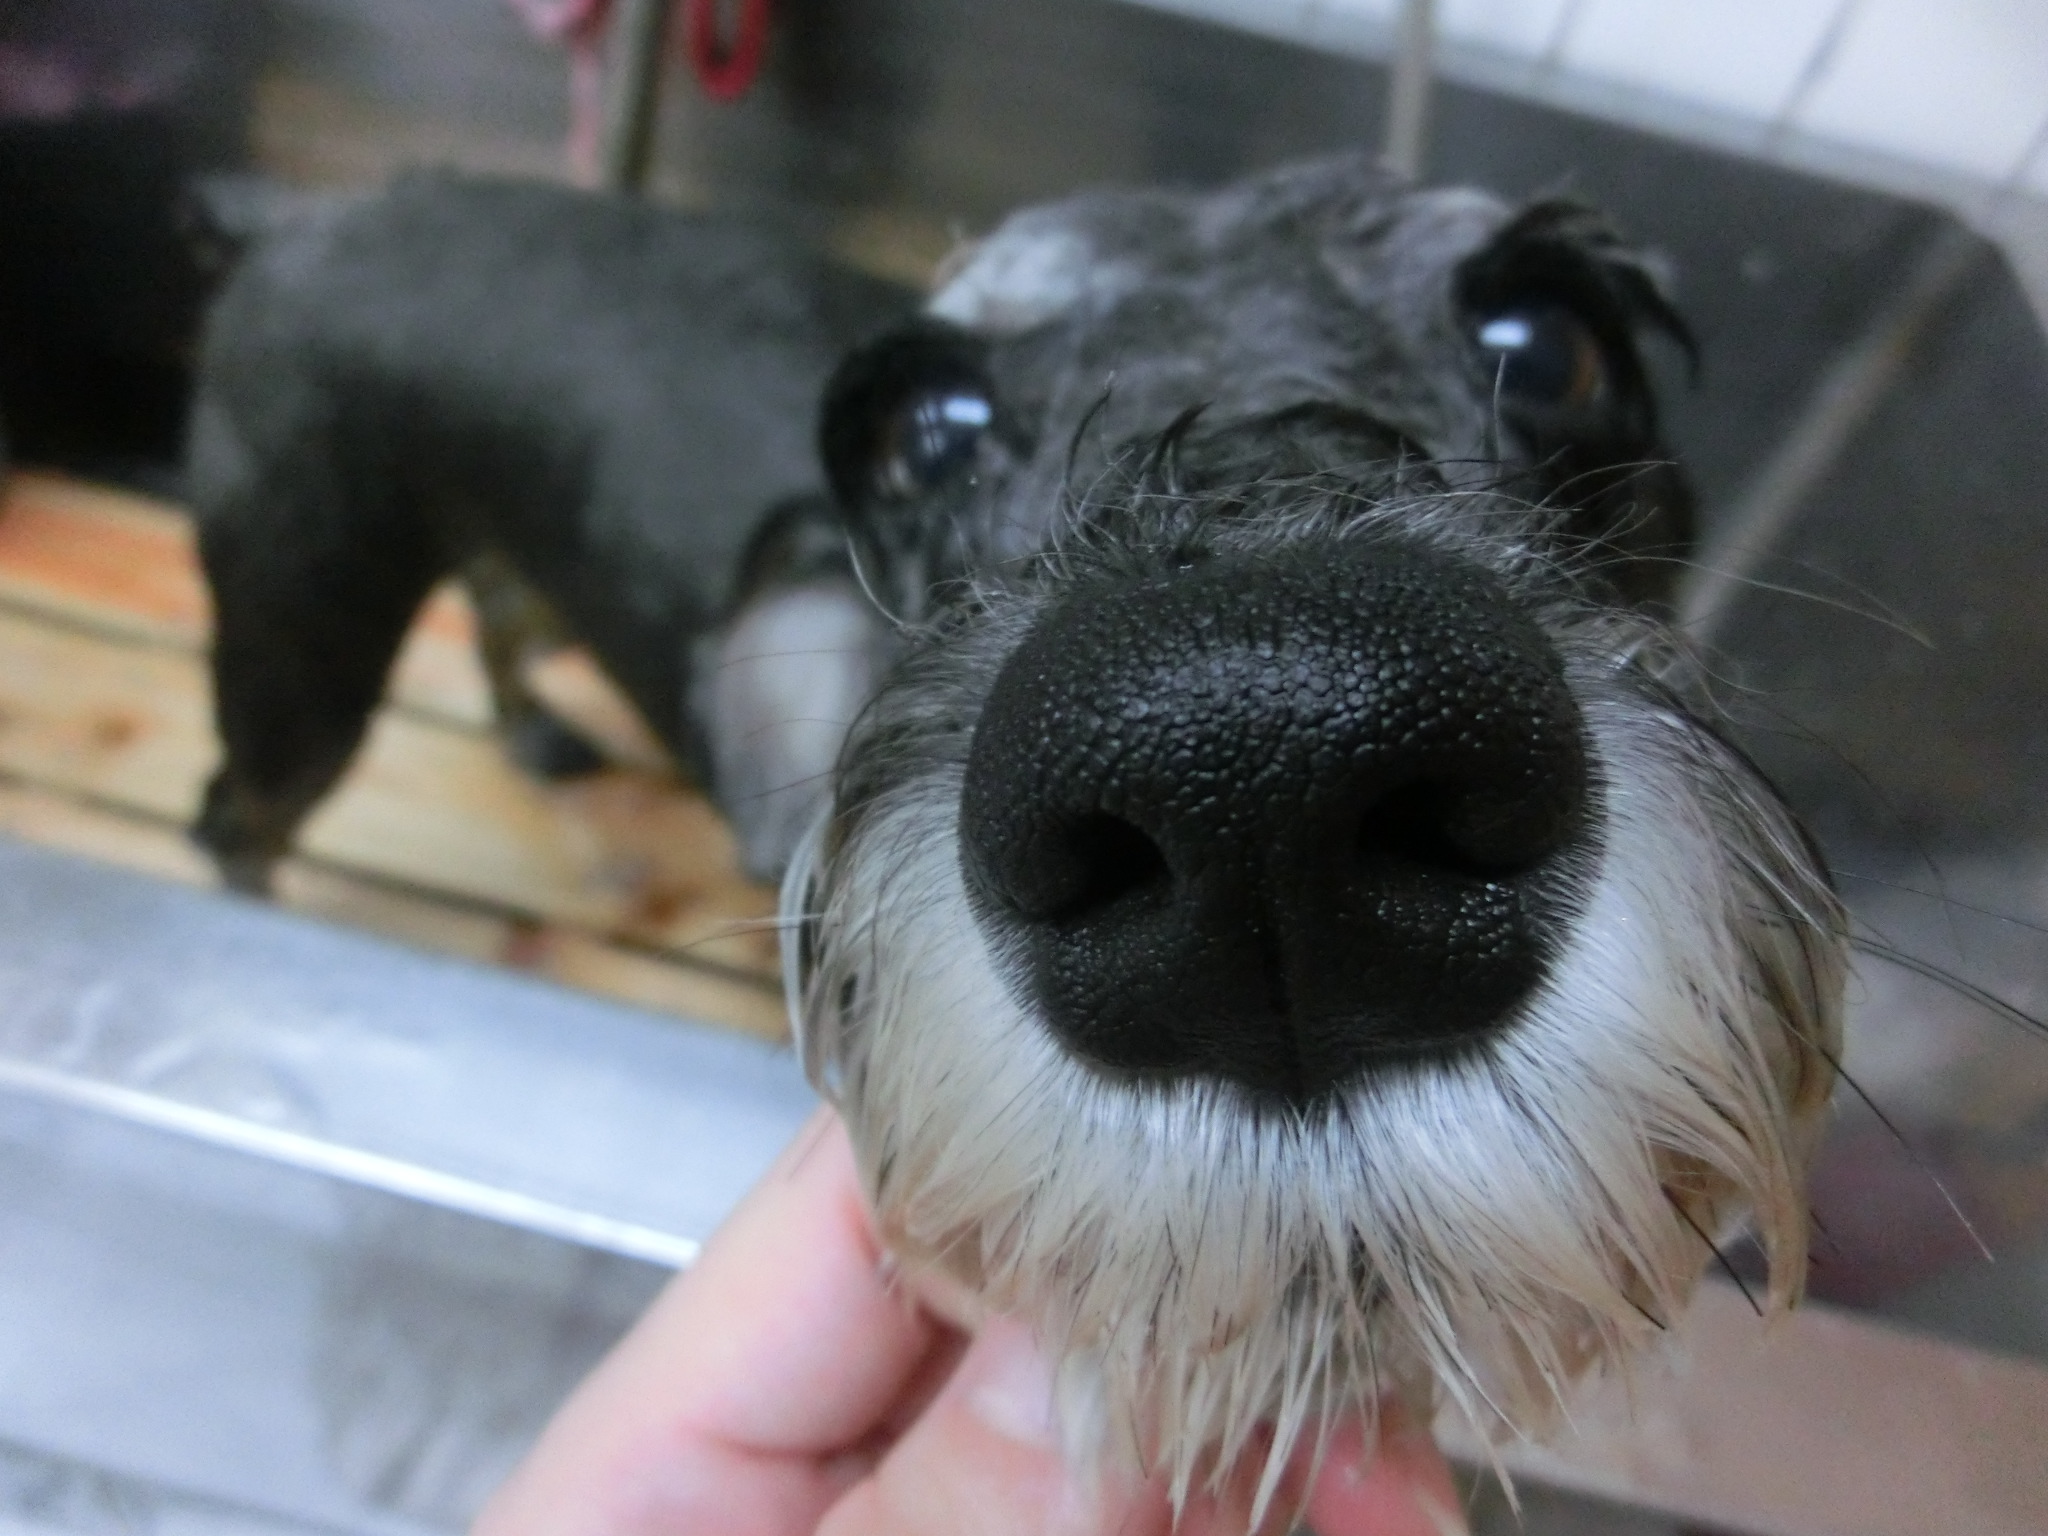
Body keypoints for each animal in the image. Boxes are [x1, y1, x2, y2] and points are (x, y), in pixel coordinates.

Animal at [188, 170, 916, 891]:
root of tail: (295, 218)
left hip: (552, 559)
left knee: (499, 629)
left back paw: (535, 733)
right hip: (308, 658)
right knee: (236, 818)